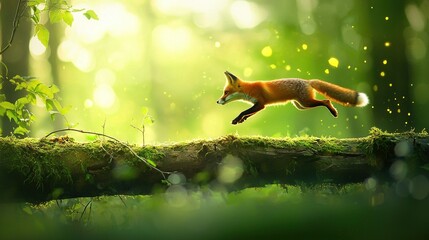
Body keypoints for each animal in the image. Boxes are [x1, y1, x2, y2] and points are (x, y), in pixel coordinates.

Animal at [217, 71, 368, 124]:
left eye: (226, 92)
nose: (218, 101)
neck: (249, 90)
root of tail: (307, 81)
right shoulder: (259, 105)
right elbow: (248, 113)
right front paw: (241, 120)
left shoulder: (260, 103)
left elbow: (244, 111)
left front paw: (237, 119)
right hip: (300, 105)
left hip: (306, 102)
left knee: (326, 100)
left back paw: (334, 112)